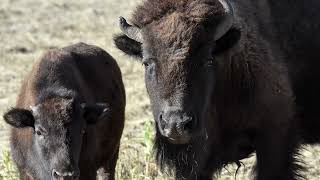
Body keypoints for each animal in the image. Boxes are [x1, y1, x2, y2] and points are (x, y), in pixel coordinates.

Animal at [2, 42, 125, 180]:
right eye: (39, 131)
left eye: (82, 130)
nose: (65, 174)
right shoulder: (24, 172)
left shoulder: (88, 170)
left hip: (111, 156)